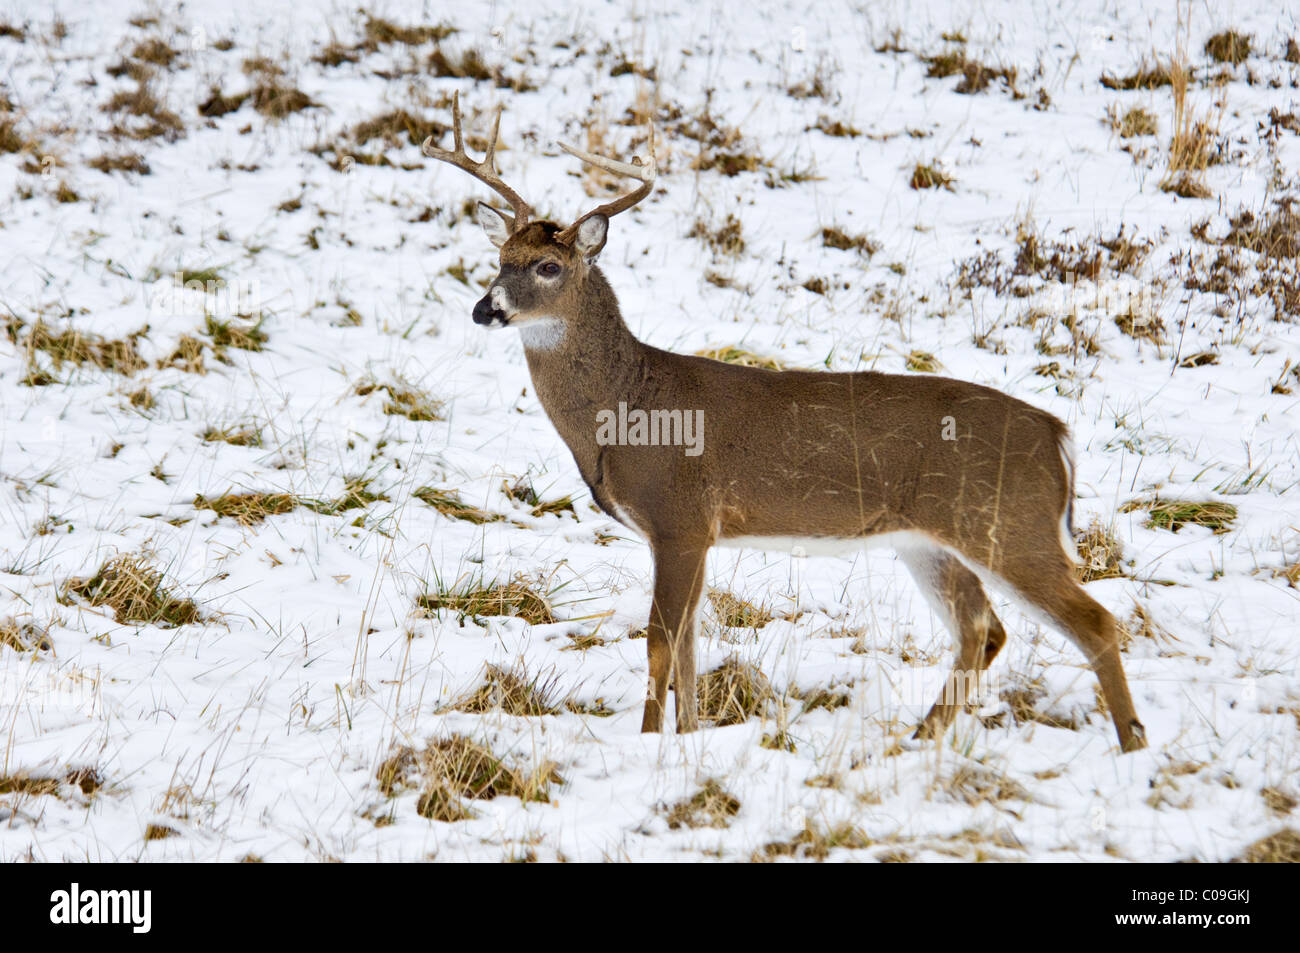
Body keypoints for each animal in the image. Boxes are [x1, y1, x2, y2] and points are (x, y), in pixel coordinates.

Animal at [426, 96, 1149, 748]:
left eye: (548, 266)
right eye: (500, 259)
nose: (485, 308)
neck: (630, 404)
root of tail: (1057, 437)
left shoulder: (681, 516)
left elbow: (662, 641)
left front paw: (649, 744)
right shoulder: (697, 533)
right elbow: (689, 647)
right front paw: (687, 741)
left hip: (1010, 521)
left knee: (1095, 621)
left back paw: (1132, 745)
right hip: (932, 538)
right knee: (982, 630)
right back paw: (918, 741)